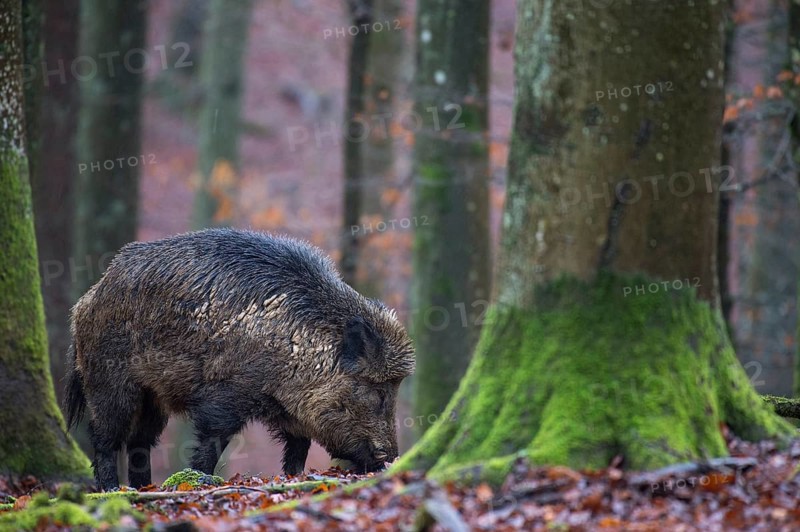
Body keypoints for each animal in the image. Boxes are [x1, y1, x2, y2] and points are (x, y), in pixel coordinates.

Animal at [63, 228, 415, 491]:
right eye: (378, 393)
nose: (389, 459)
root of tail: (87, 299)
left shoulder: (290, 412)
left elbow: (298, 448)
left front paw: (292, 479)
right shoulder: (225, 395)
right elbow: (213, 440)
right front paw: (199, 480)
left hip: (154, 396)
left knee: (141, 441)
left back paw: (142, 488)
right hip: (111, 382)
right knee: (104, 435)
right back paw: (112, 489)